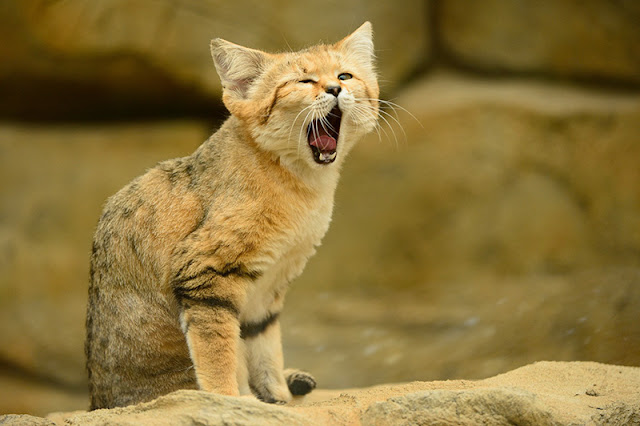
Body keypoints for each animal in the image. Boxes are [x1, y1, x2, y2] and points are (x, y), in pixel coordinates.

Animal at [82, 20, 378, 410]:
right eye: (303, 81)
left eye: (345, 75)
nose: (335, 88)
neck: (299, 182)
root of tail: (98, 400)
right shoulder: (205, 273)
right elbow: (219, 352)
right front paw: (229, 400)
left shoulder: (267, 290)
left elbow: (266, 350)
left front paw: (278, 400)